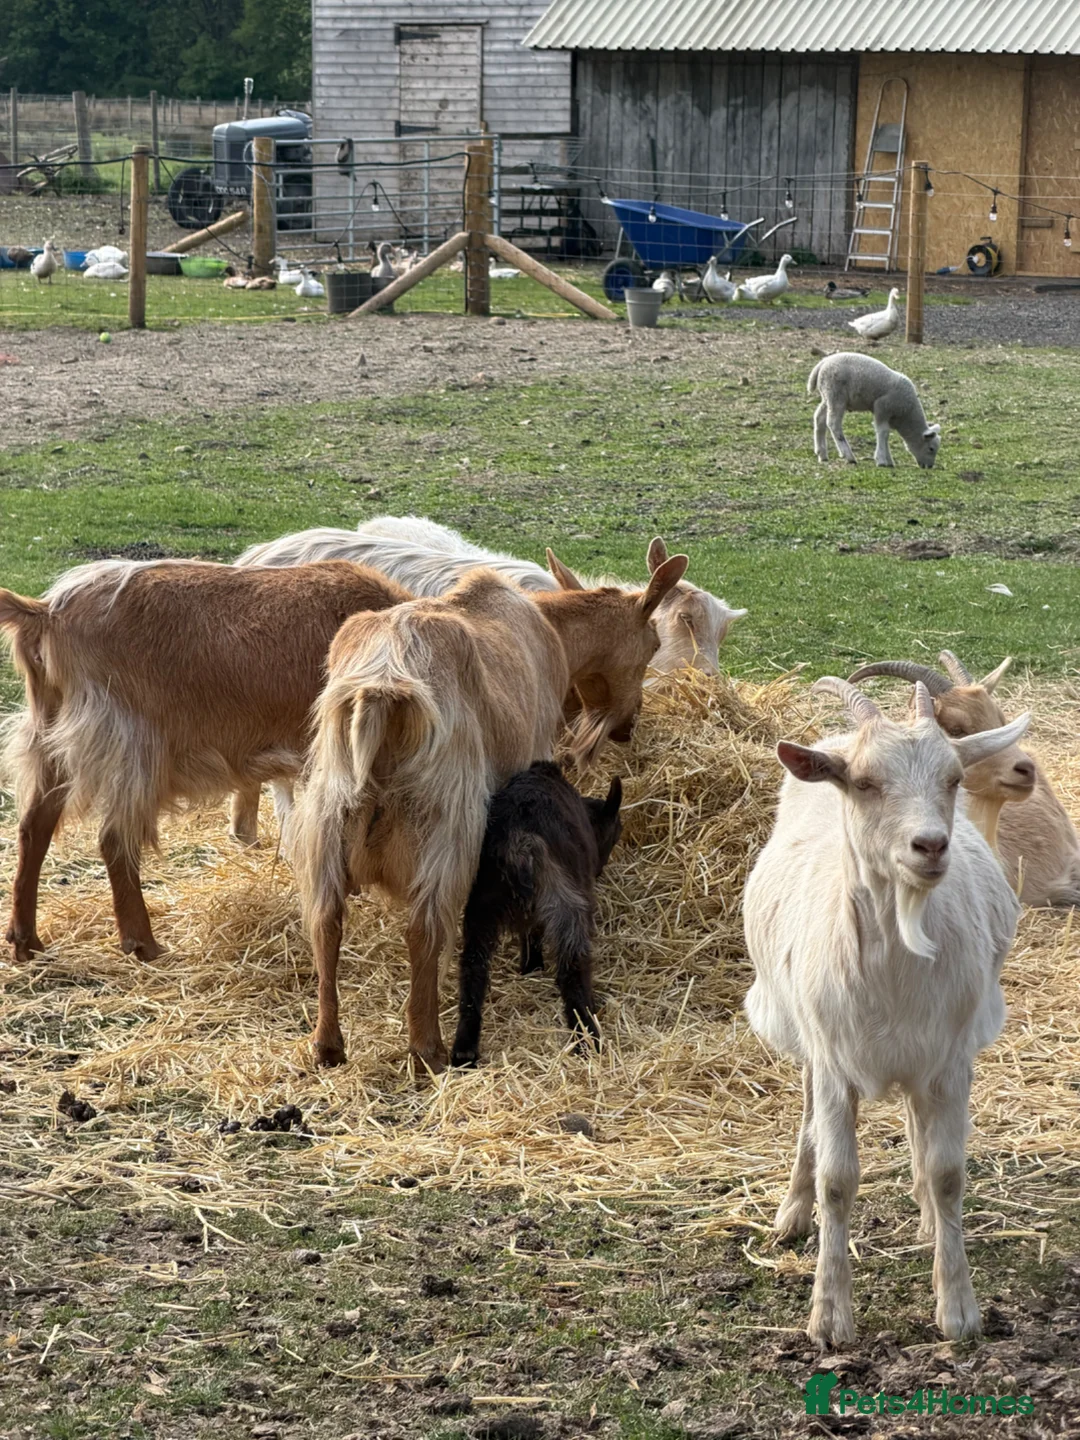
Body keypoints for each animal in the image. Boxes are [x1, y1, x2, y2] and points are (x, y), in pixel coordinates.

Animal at [0, 559, 410, 963]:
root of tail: (47, 613)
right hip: (129, 745)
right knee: (114, 840)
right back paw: (143, 944)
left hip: (53, 741)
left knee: (34, 827)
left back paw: (26, 942)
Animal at [450, 762, 622, 1067]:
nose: (599, 870)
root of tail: (520, 842)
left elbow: (529, 933)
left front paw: (530, 967)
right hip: (567, 908)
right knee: (572, 972)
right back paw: (588, 1037)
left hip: (481, 910)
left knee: (473, 968)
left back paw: (464, 1050)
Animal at [744, 676, 1030, 1347]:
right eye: (864, 782)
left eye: (954, 778)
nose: (930, 845)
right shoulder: (833, 1055)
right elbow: (838, 1179)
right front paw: (829, 1317)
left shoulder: (949, 1057)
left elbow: (948, 1170)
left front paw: (958, 1310)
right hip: (806, 1034)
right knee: (808, 1116)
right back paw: (792, 1213)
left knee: (919, 1125)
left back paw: (924, 1213)